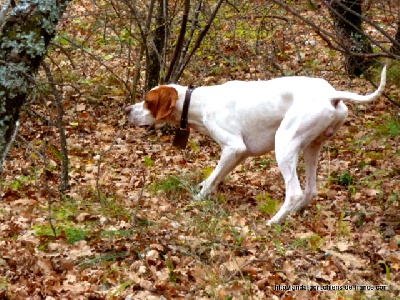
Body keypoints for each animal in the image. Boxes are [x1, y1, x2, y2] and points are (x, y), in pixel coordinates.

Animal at [126, 66, 386, 225]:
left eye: (147, 102)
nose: (127, 110)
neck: (199, 103)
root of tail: (331, 95)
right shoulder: (240, 154)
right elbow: (217, 175)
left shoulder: (234, 147)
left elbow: (212, 178)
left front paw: (198, 198)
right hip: (312, 147)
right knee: (311, 190)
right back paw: (295, 212)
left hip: (285, 144)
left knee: (294, 192)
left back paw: (274, 221)